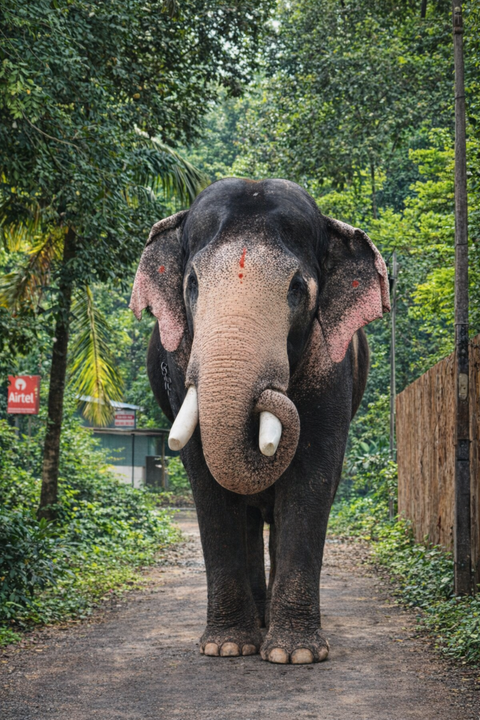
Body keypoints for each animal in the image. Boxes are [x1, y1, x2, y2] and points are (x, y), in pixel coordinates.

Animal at [130, 178, 390, 664]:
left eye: (297, 289)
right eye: (192, 284)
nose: (270, 391)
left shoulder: (332, 363)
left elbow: (312, 476)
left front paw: (296, 655)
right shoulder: (179, 363)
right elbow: (206, 480)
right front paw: (226, 648)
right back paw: (254, 625)